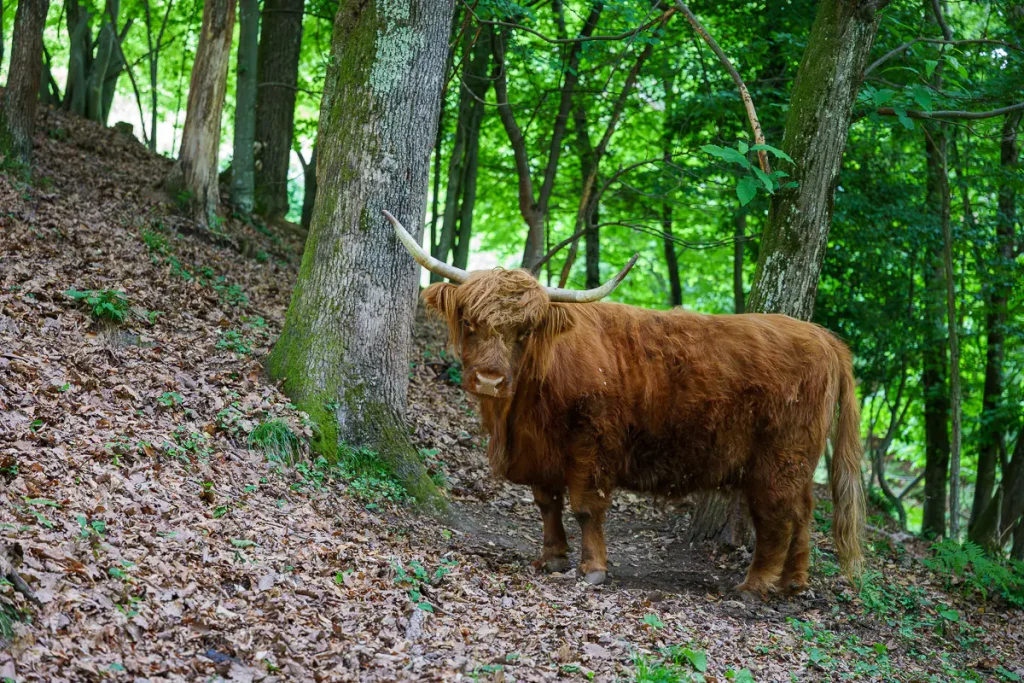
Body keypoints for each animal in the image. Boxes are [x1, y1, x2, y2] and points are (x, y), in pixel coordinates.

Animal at [384, 211, 864, 595]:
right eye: (469, 322)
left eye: (525, 331)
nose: (490, 379)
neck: (518, 416)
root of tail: (822, 336)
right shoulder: (540, 453)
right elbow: (546, 503)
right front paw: (552, 558)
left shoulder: (592, 445)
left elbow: (585, 507)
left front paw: (592, 569)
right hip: (799, 461)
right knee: (804, 512)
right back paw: (794, 583)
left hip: (780, 458)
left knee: (777, 516)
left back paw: (755, 586)